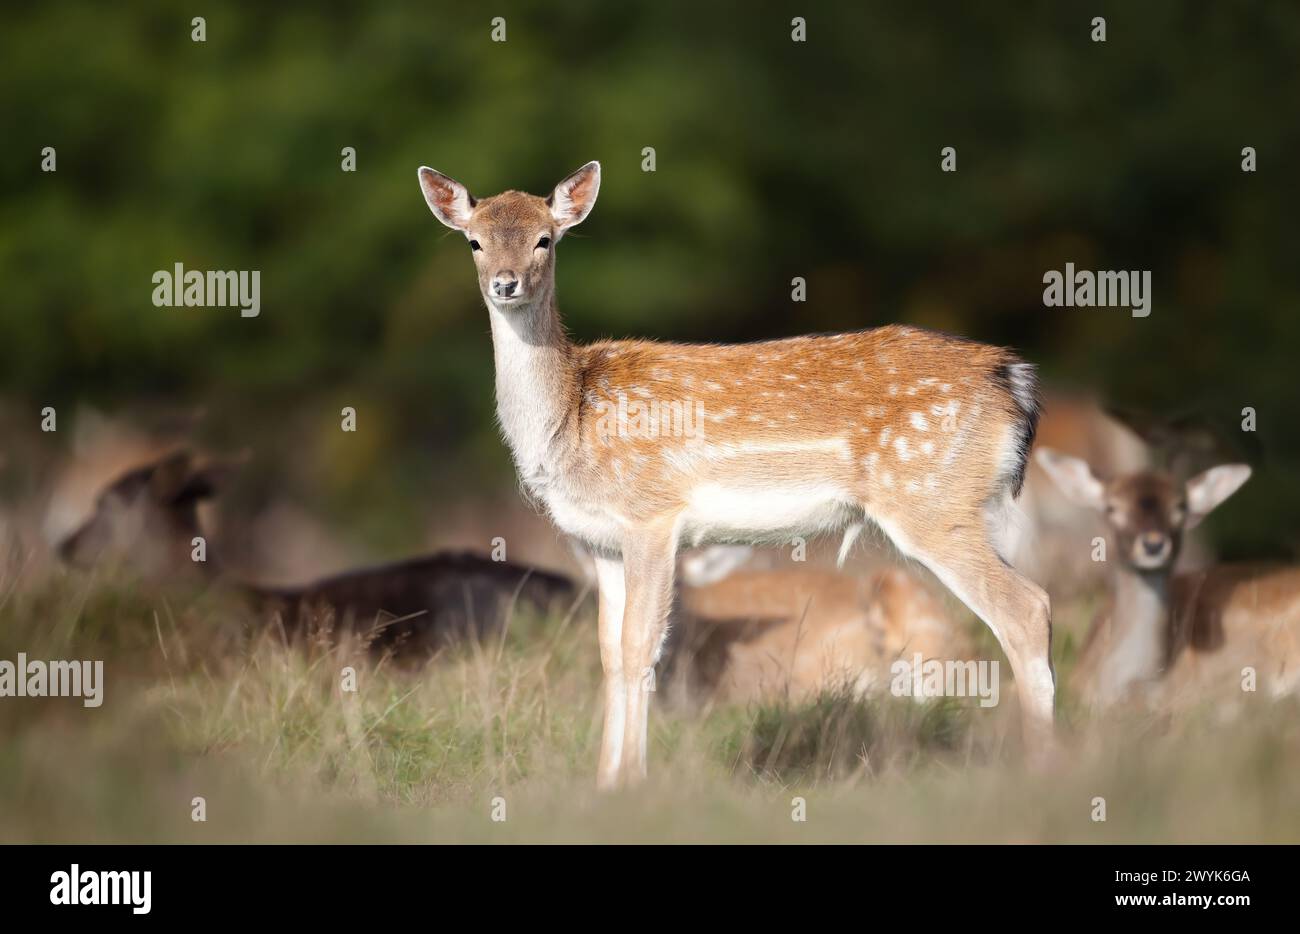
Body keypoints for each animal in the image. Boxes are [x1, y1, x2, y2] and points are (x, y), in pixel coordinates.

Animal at [416, 161, 1055, 790]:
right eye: (474, 241)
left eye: (545, 239)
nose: (505, 282)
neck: (569, 418)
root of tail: (1014, 379)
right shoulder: (599, 539)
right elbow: (610, 655)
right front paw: (604, 785)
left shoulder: (652, 515)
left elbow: (641, 646)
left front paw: (633, 783)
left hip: (930, 499)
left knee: (1026, 608)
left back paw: (1040, 769)